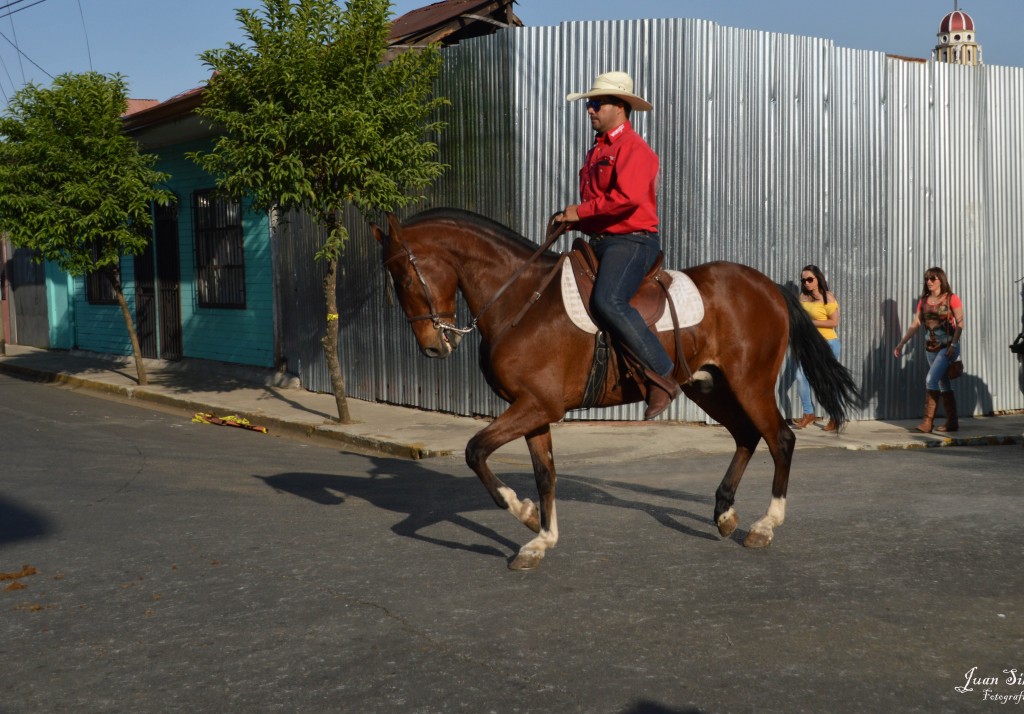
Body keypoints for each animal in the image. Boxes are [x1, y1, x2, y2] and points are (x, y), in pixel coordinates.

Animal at [372, 205, 860, 569]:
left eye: (405, 276)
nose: (434, 346)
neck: (521, 298)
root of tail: (771, 288)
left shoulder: (536, 406)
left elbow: (475, 451)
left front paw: (525, 514)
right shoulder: (532, 409)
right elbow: (544, 473)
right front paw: (540, 538)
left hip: (750, 383)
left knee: (780, 439)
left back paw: (764, 524)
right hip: (710, 387)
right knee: (746, 435)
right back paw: (724, 513)